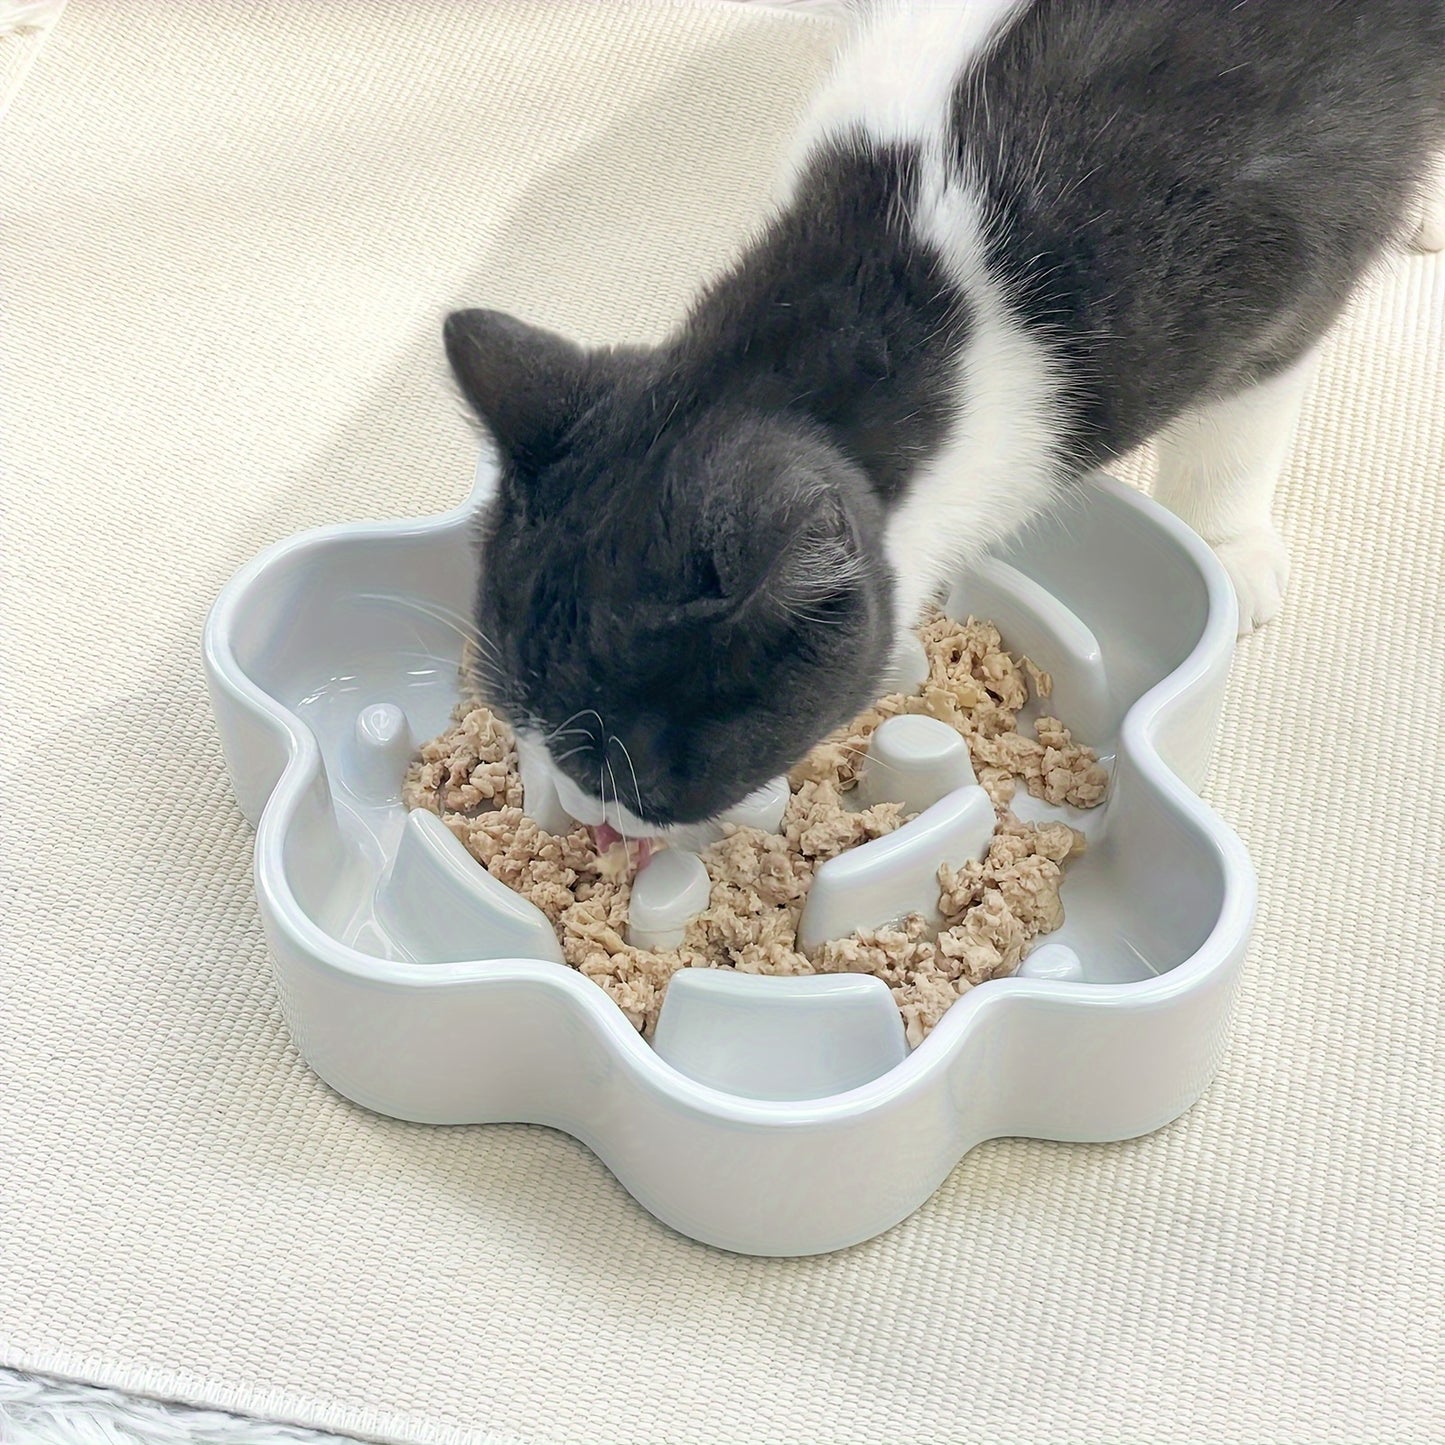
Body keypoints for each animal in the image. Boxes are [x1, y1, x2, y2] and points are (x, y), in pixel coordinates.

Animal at [442, 0, 1445, 838]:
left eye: (629, 778)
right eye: (511, 717)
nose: (580, 816)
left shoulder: (1282, 246)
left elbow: (1242, 419)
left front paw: (1226, 551)